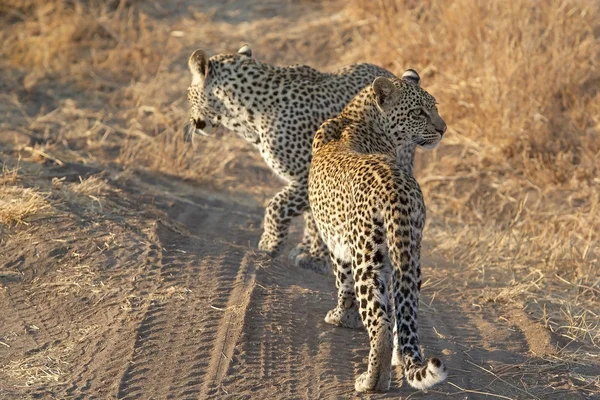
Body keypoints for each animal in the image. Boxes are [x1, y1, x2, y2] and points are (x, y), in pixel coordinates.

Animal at [184, 44, 418, 276]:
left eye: (188, 95)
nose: (192, 122)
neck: (245, 117)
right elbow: (310, 216)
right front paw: (311, 253)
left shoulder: (307, 176)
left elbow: (276, 206)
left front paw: (272, 245)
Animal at [310, 70, 446, 392]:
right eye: (419, 112)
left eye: (433, 108)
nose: (443, 129)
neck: (356, 116)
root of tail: (396, 187)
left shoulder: (338, 246)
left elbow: (342, 285)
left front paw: (341, 317)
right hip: (409, 253)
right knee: (404, 310)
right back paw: (398, 362)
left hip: (367, 257)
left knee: (380, 324)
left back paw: (371, 381)